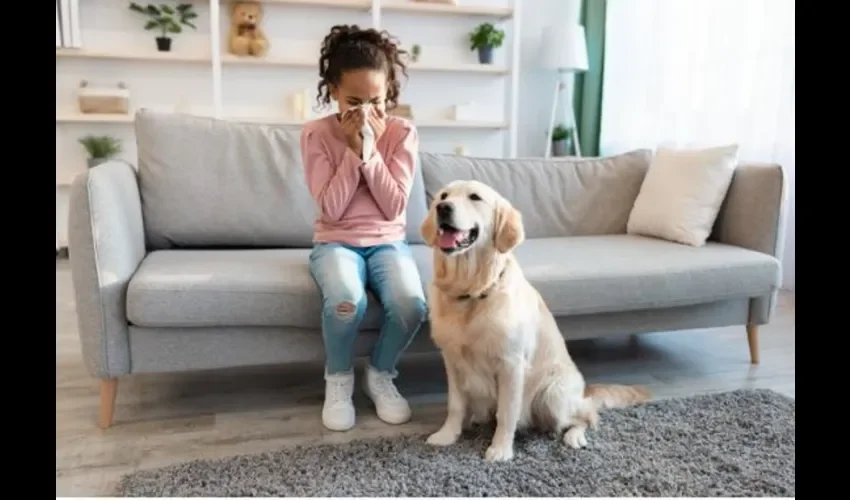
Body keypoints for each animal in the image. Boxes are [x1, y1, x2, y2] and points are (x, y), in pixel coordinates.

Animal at [420, 179, 648, 460]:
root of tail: (583, 390)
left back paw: (574, 436)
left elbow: (506, 412)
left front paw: (500, 449)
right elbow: (455, 405)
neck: (471, 292)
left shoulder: (511, 364)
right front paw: (447, 435)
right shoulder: (452, 361)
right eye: (443, 196)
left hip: (552, 394)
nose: (442, 208)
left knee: (586, 415)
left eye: (474, 197)